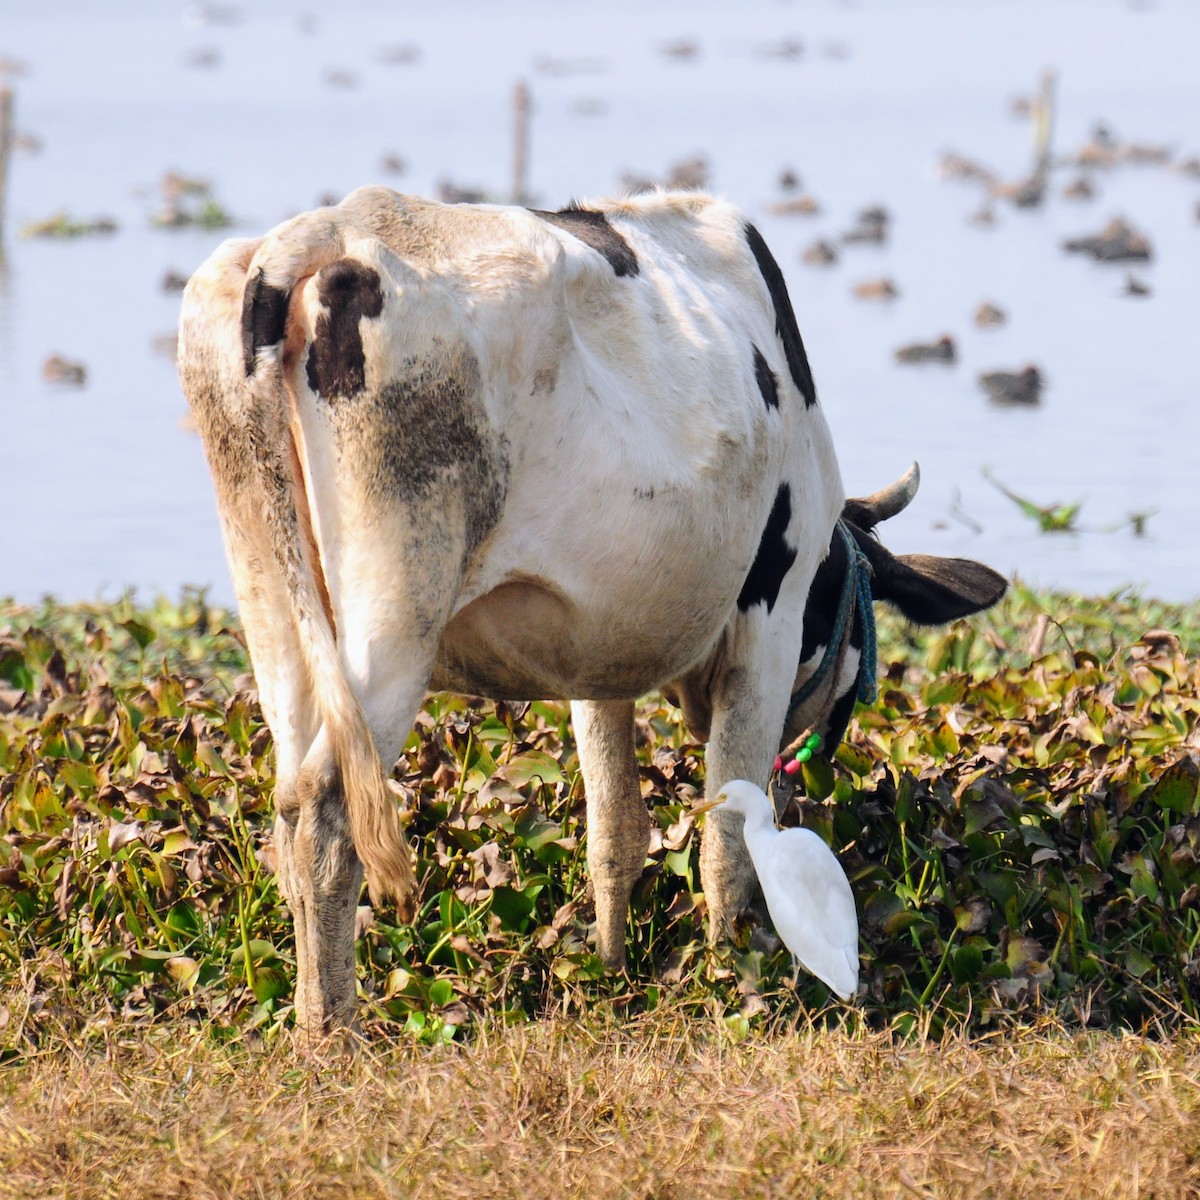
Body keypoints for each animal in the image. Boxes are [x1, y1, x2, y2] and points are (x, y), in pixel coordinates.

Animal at [178, 186, 1006, 1031]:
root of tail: (327, 229)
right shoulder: (768, 623)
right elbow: (728, 837)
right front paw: (730, 976)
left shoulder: (593, 648)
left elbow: (615, 828)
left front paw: (612, 971)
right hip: (398, 603)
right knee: (331, 802)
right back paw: (334, 1029)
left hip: (272, 597)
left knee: (289, 799)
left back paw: (311, 1008)